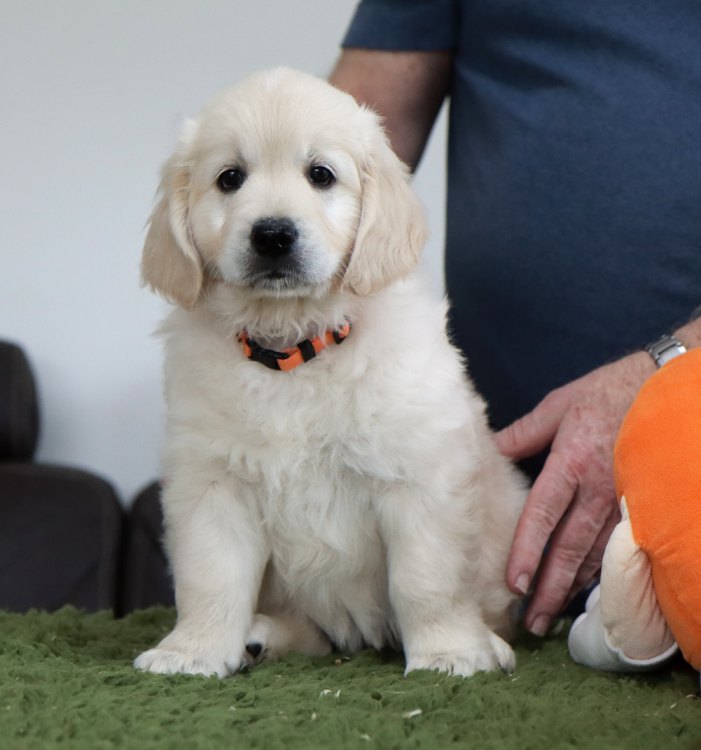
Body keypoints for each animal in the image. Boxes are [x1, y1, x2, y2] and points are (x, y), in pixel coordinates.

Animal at [134, 68, 527, 679]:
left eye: (321, 174)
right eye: (230, 178)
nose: (272, 234)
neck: (294, 349)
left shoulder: (420, 479)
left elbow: (427, 580)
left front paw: (449, 653)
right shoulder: (213, 483)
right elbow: (211, 579)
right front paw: (191, 651)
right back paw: (260, 638)